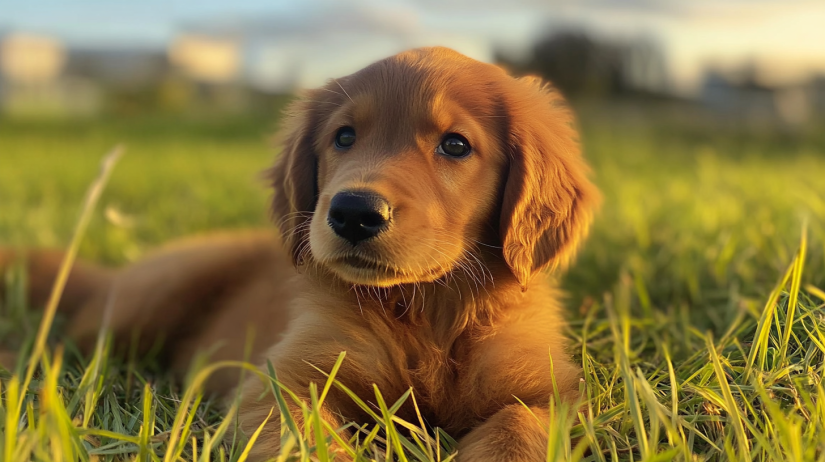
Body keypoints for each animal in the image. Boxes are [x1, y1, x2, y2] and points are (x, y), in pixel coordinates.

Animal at [0, 46, 596, 458]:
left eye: (455, 145)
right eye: (344, 137)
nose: (353, 212)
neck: (425, 308)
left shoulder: (545, 391)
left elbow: (518, 427)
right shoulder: (285, 380)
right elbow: (302, 437)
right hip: (147, 300)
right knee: (61, 345)